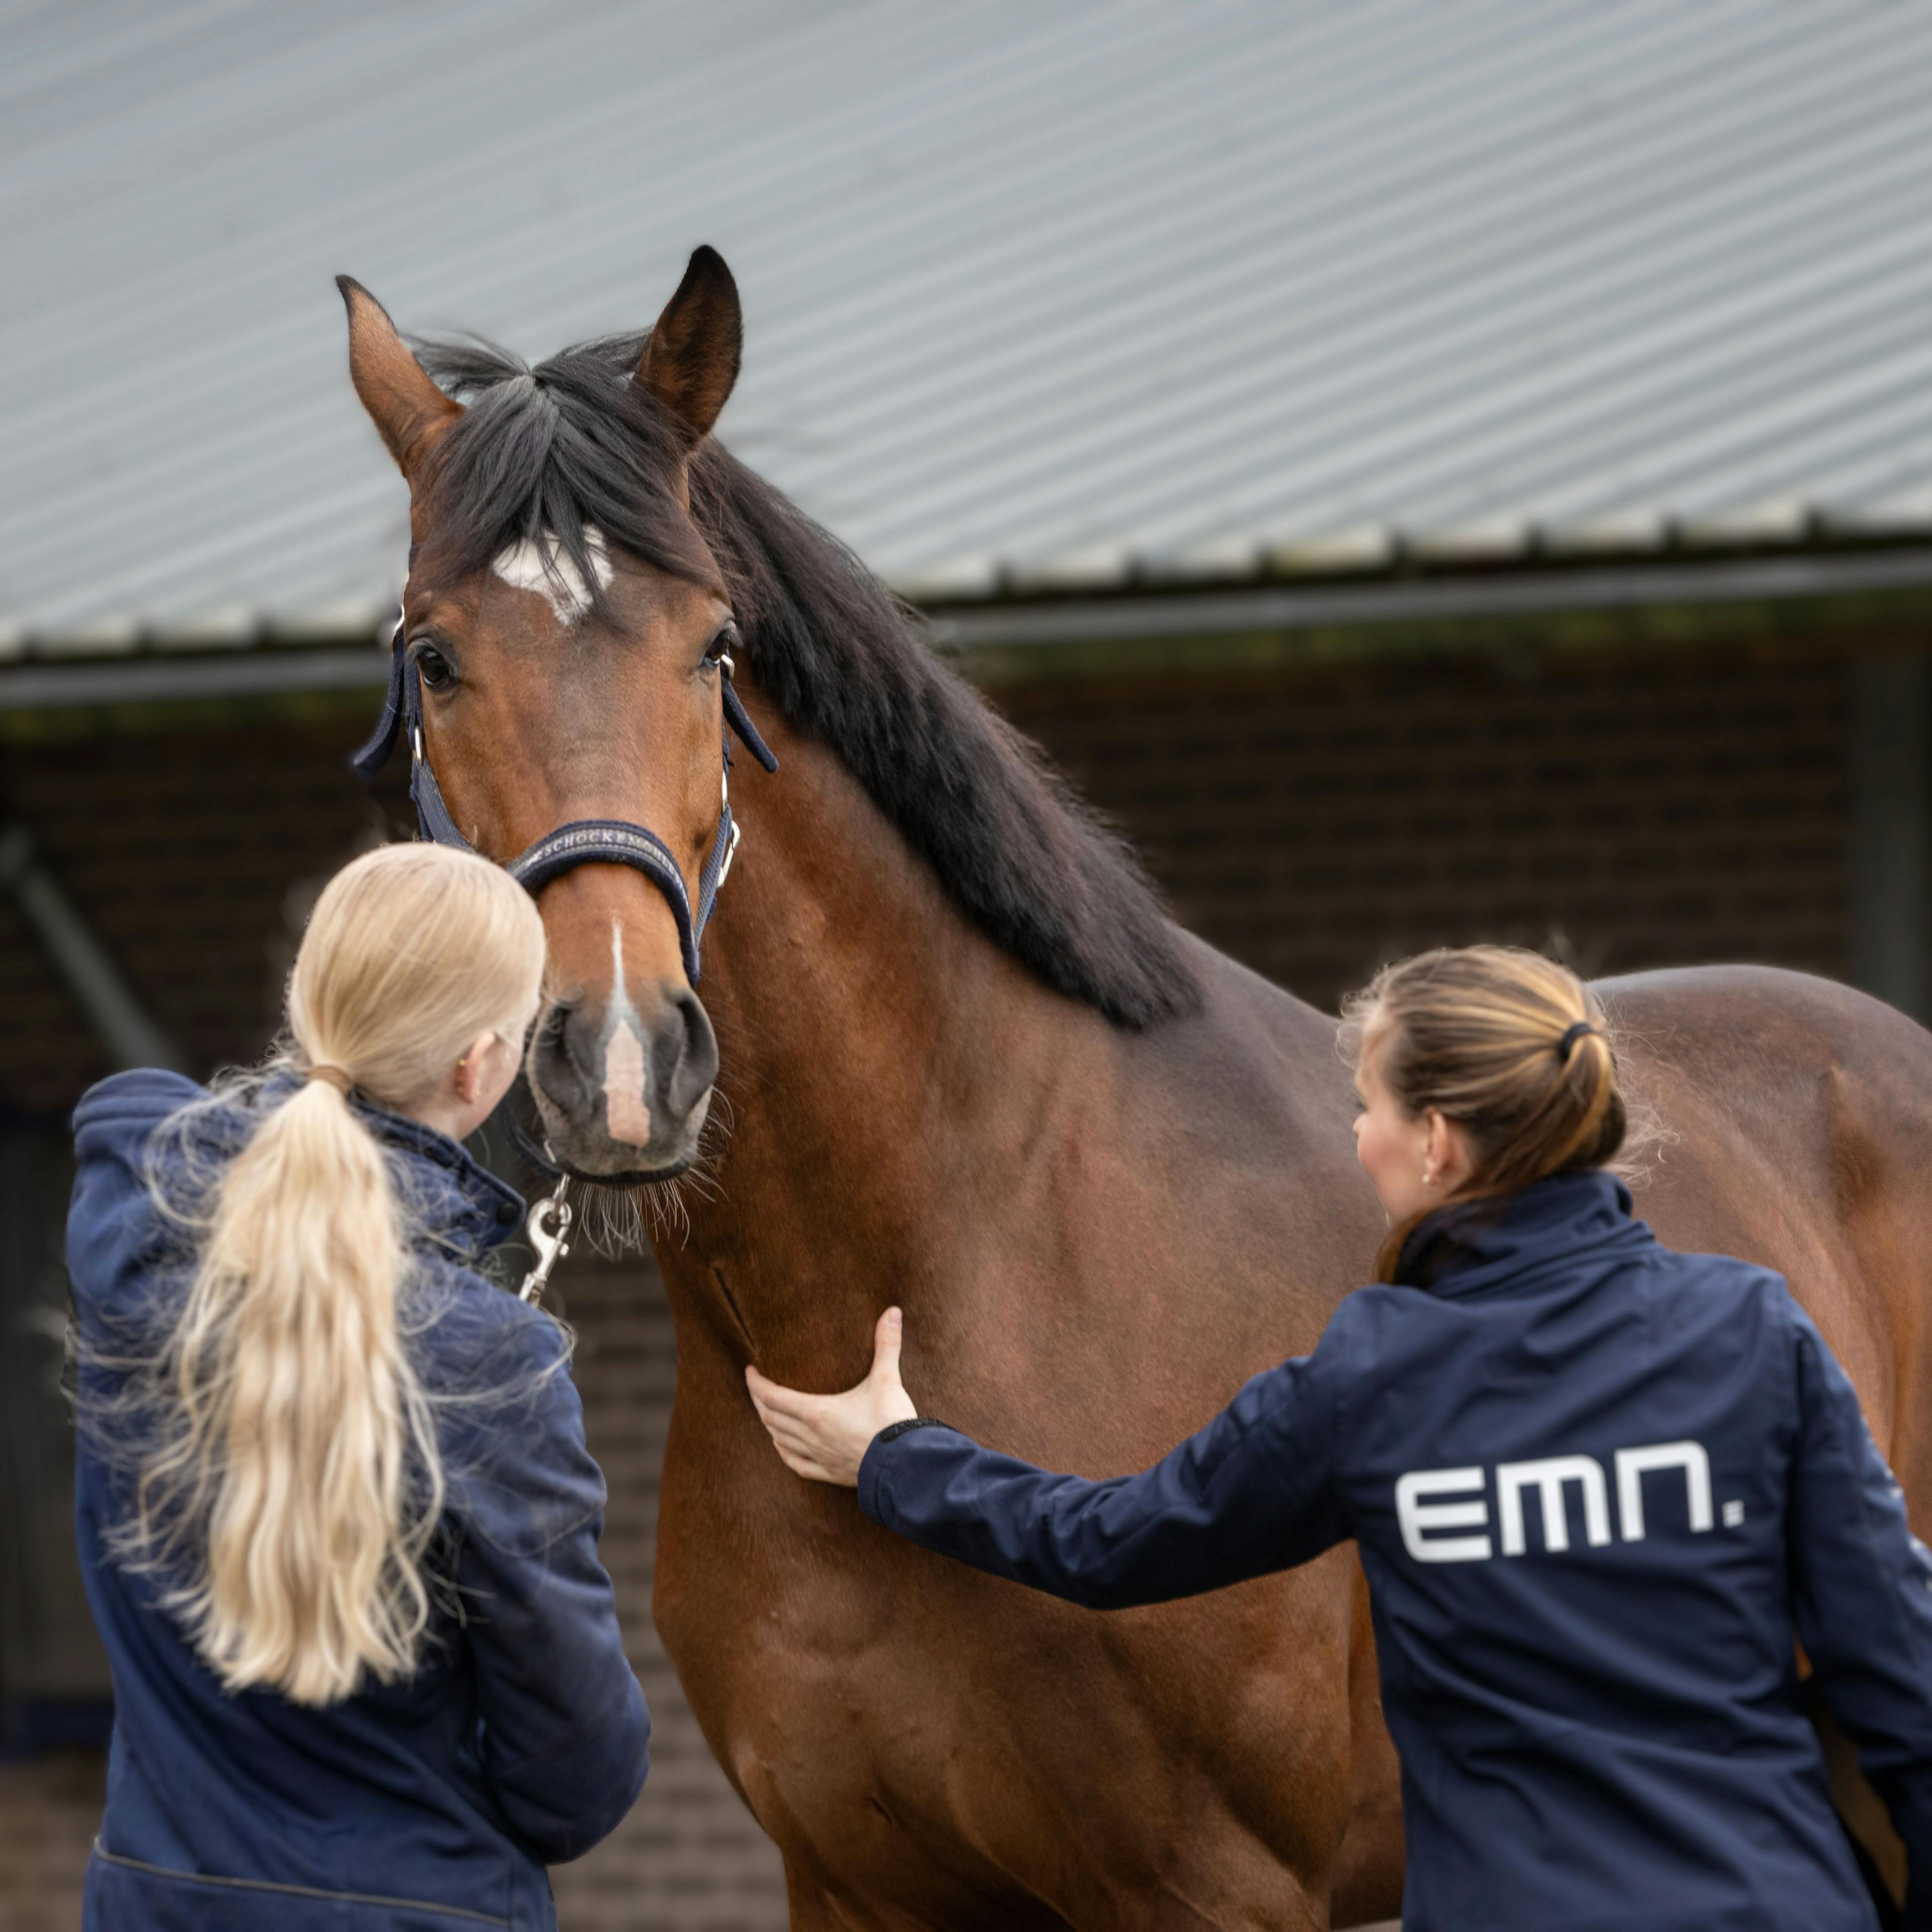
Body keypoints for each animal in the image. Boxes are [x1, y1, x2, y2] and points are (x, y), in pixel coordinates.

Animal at [338, 247, 1930, 1928]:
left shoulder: (1215, 1887)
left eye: (712, 647)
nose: (628, 1062)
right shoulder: (850, 1884)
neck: (947, 1263)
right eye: (434, 656)